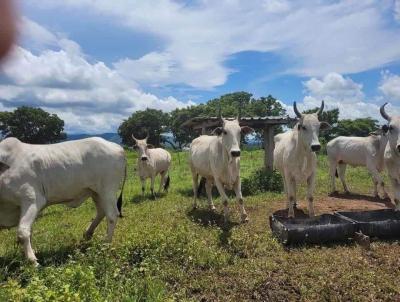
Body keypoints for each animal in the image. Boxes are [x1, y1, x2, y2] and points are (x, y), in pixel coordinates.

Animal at [0, 136, 126, 264]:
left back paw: (106, 244)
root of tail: (117, 147)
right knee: (101, 212)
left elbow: (23, 232)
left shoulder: (32, 200)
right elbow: (28, 232)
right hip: (96, 192)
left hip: (108, 189)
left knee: (111, 215)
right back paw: (87, 234)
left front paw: (32, 261)